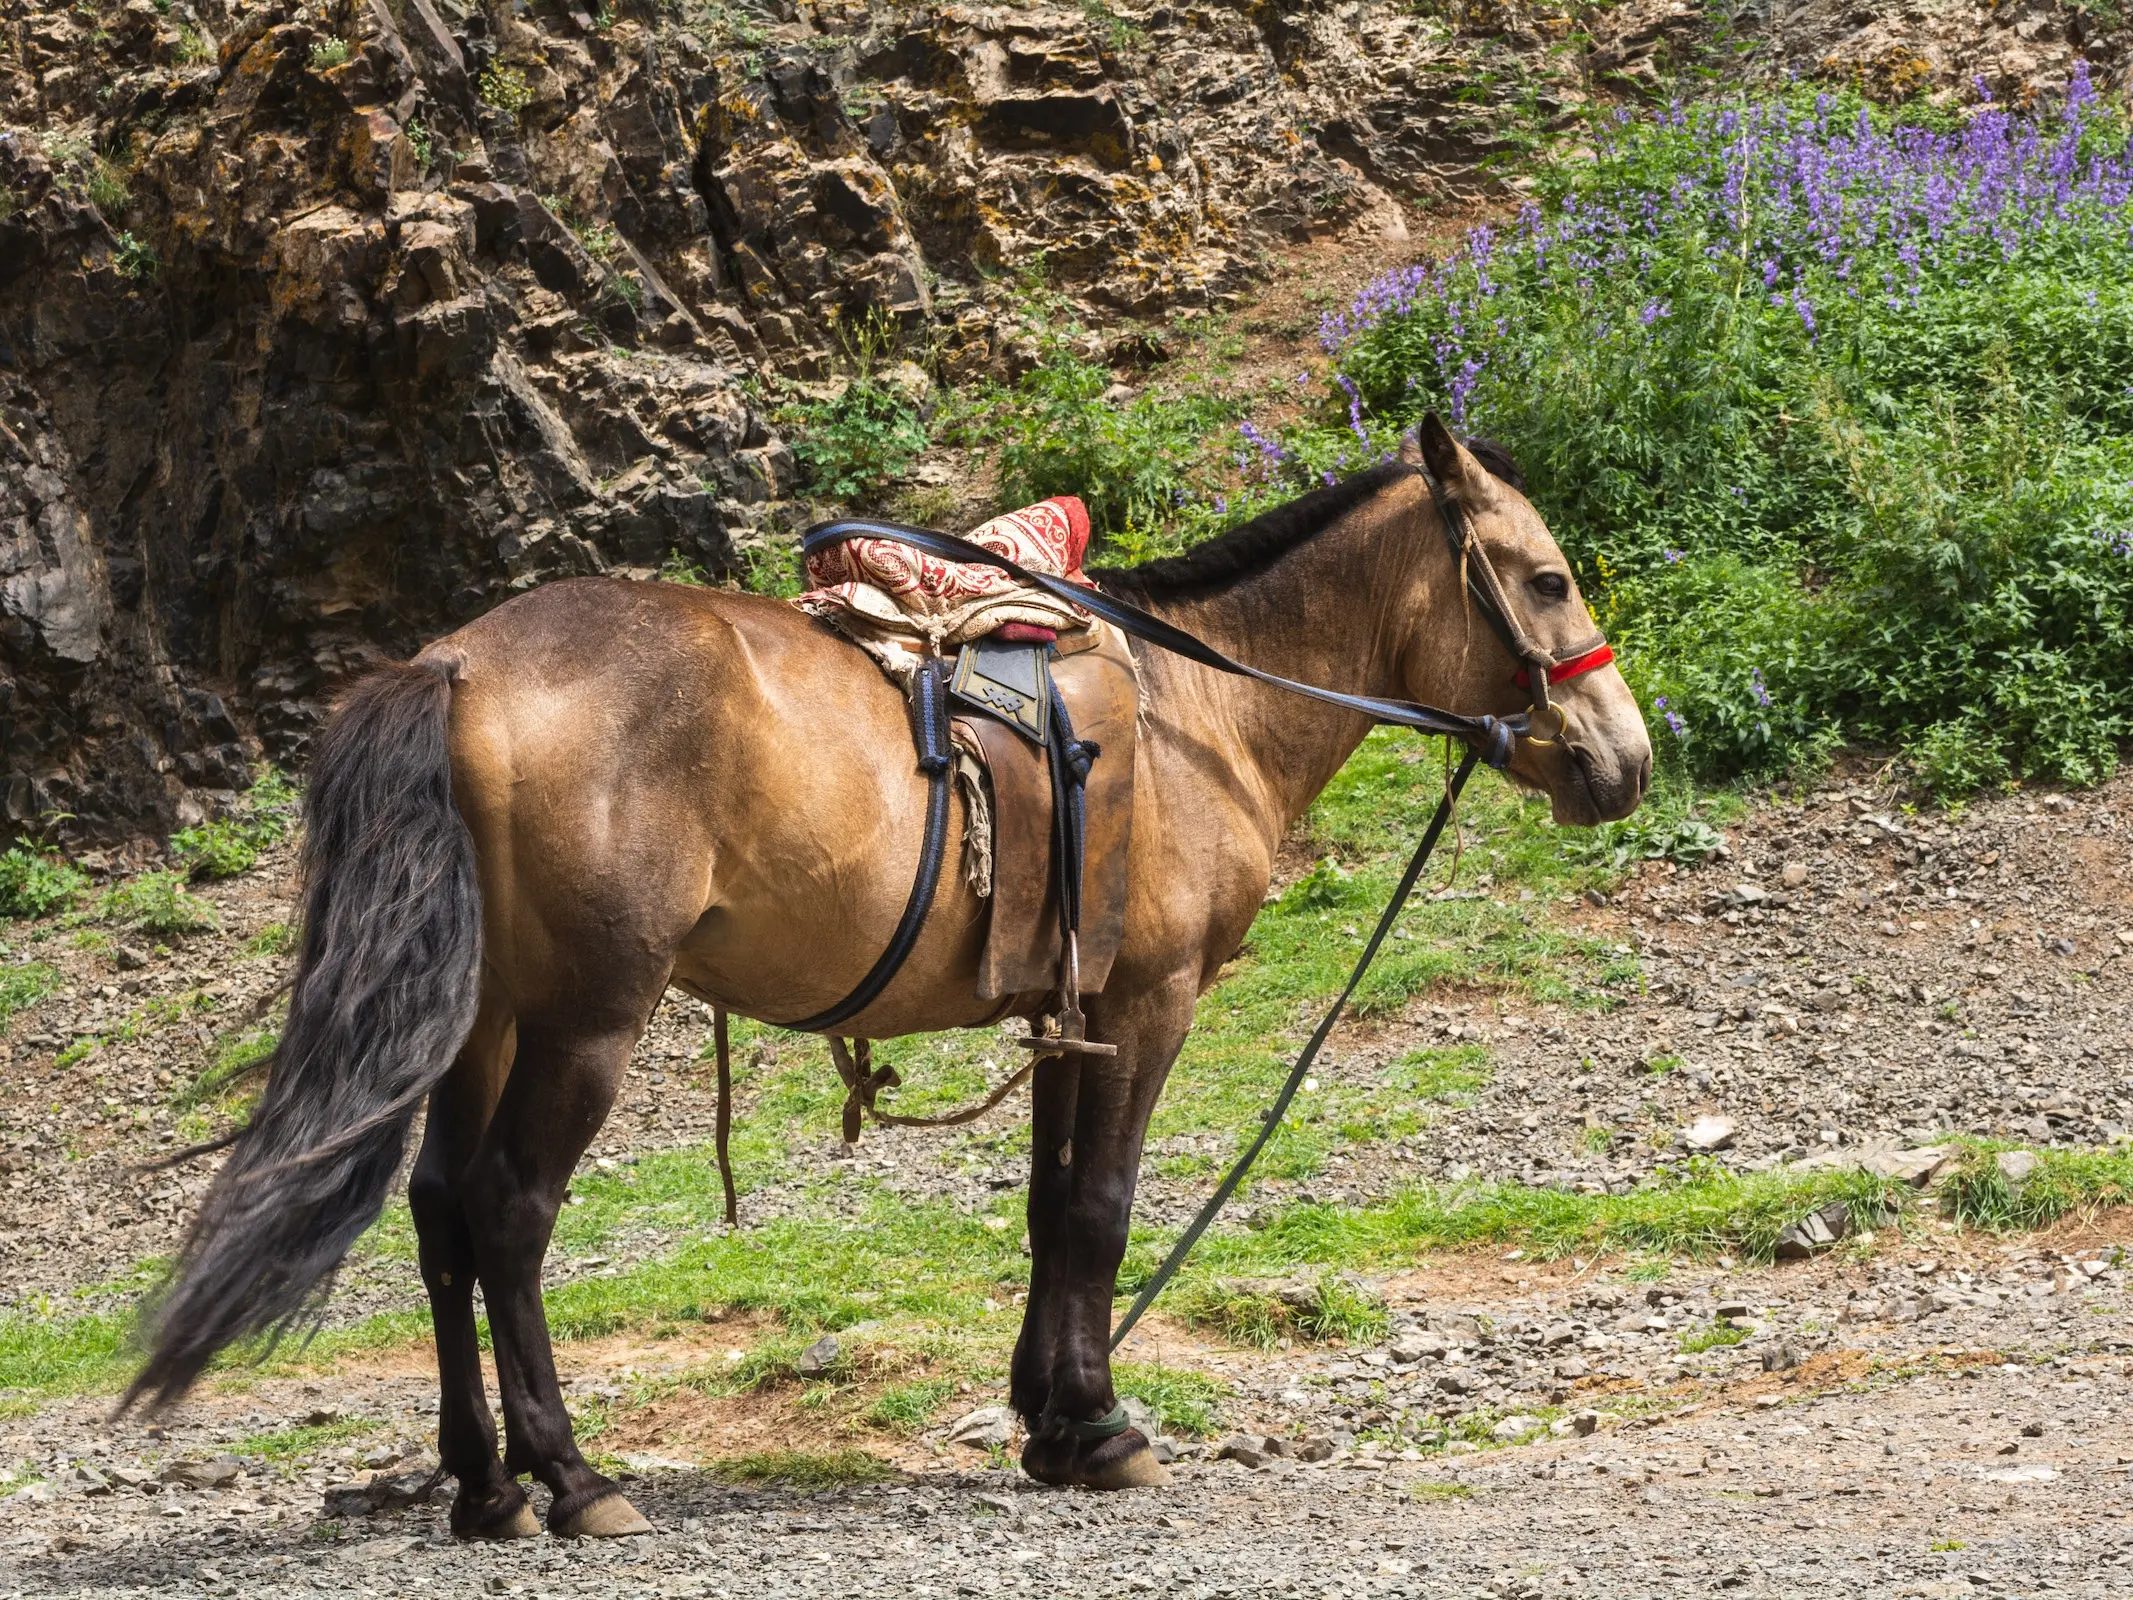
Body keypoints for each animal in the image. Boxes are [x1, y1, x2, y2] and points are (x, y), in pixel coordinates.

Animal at [124, 422, 1646, 1544]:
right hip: (585, 1022)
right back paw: (571, 1477)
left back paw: (485, 1486)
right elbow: (1102, 1213)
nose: (1621, 758)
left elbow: (1050, 1215)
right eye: (1546, 579)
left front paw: (1052, 1422)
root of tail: (455, 661)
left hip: (485, 1019)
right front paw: (1103, 1430)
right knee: (507, 1214)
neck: (1197, 715)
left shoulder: (1066, 1016)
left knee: (441, 1215)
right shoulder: (1144, 1007)